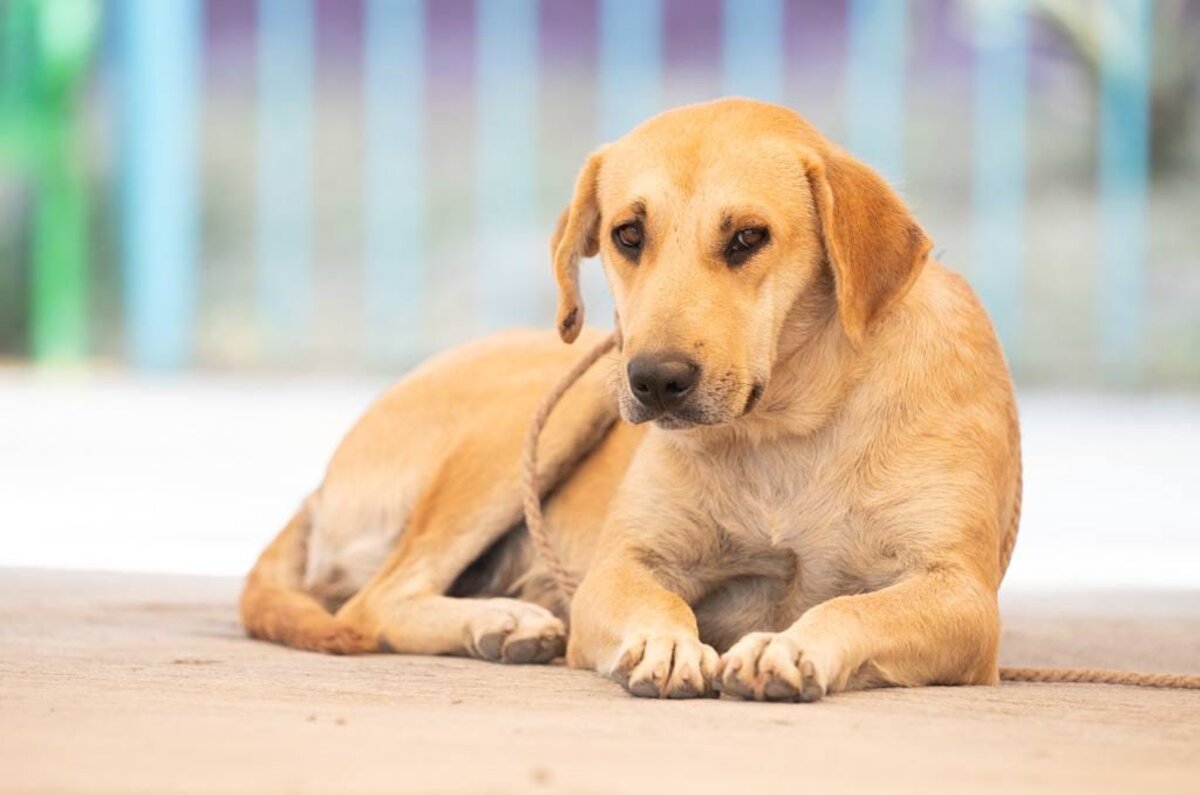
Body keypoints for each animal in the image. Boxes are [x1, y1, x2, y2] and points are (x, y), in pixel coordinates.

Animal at [241, 99, 1022, 706]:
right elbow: (659, 598)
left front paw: (789, 646)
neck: (786, 423)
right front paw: (665, 644)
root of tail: (319, 489)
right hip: (564, 403)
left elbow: (853, 606)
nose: (656, 379)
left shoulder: (961, 597)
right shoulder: (621, 566)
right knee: (379, 599)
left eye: (749, 237)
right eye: (627, 234)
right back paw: (501, 621)